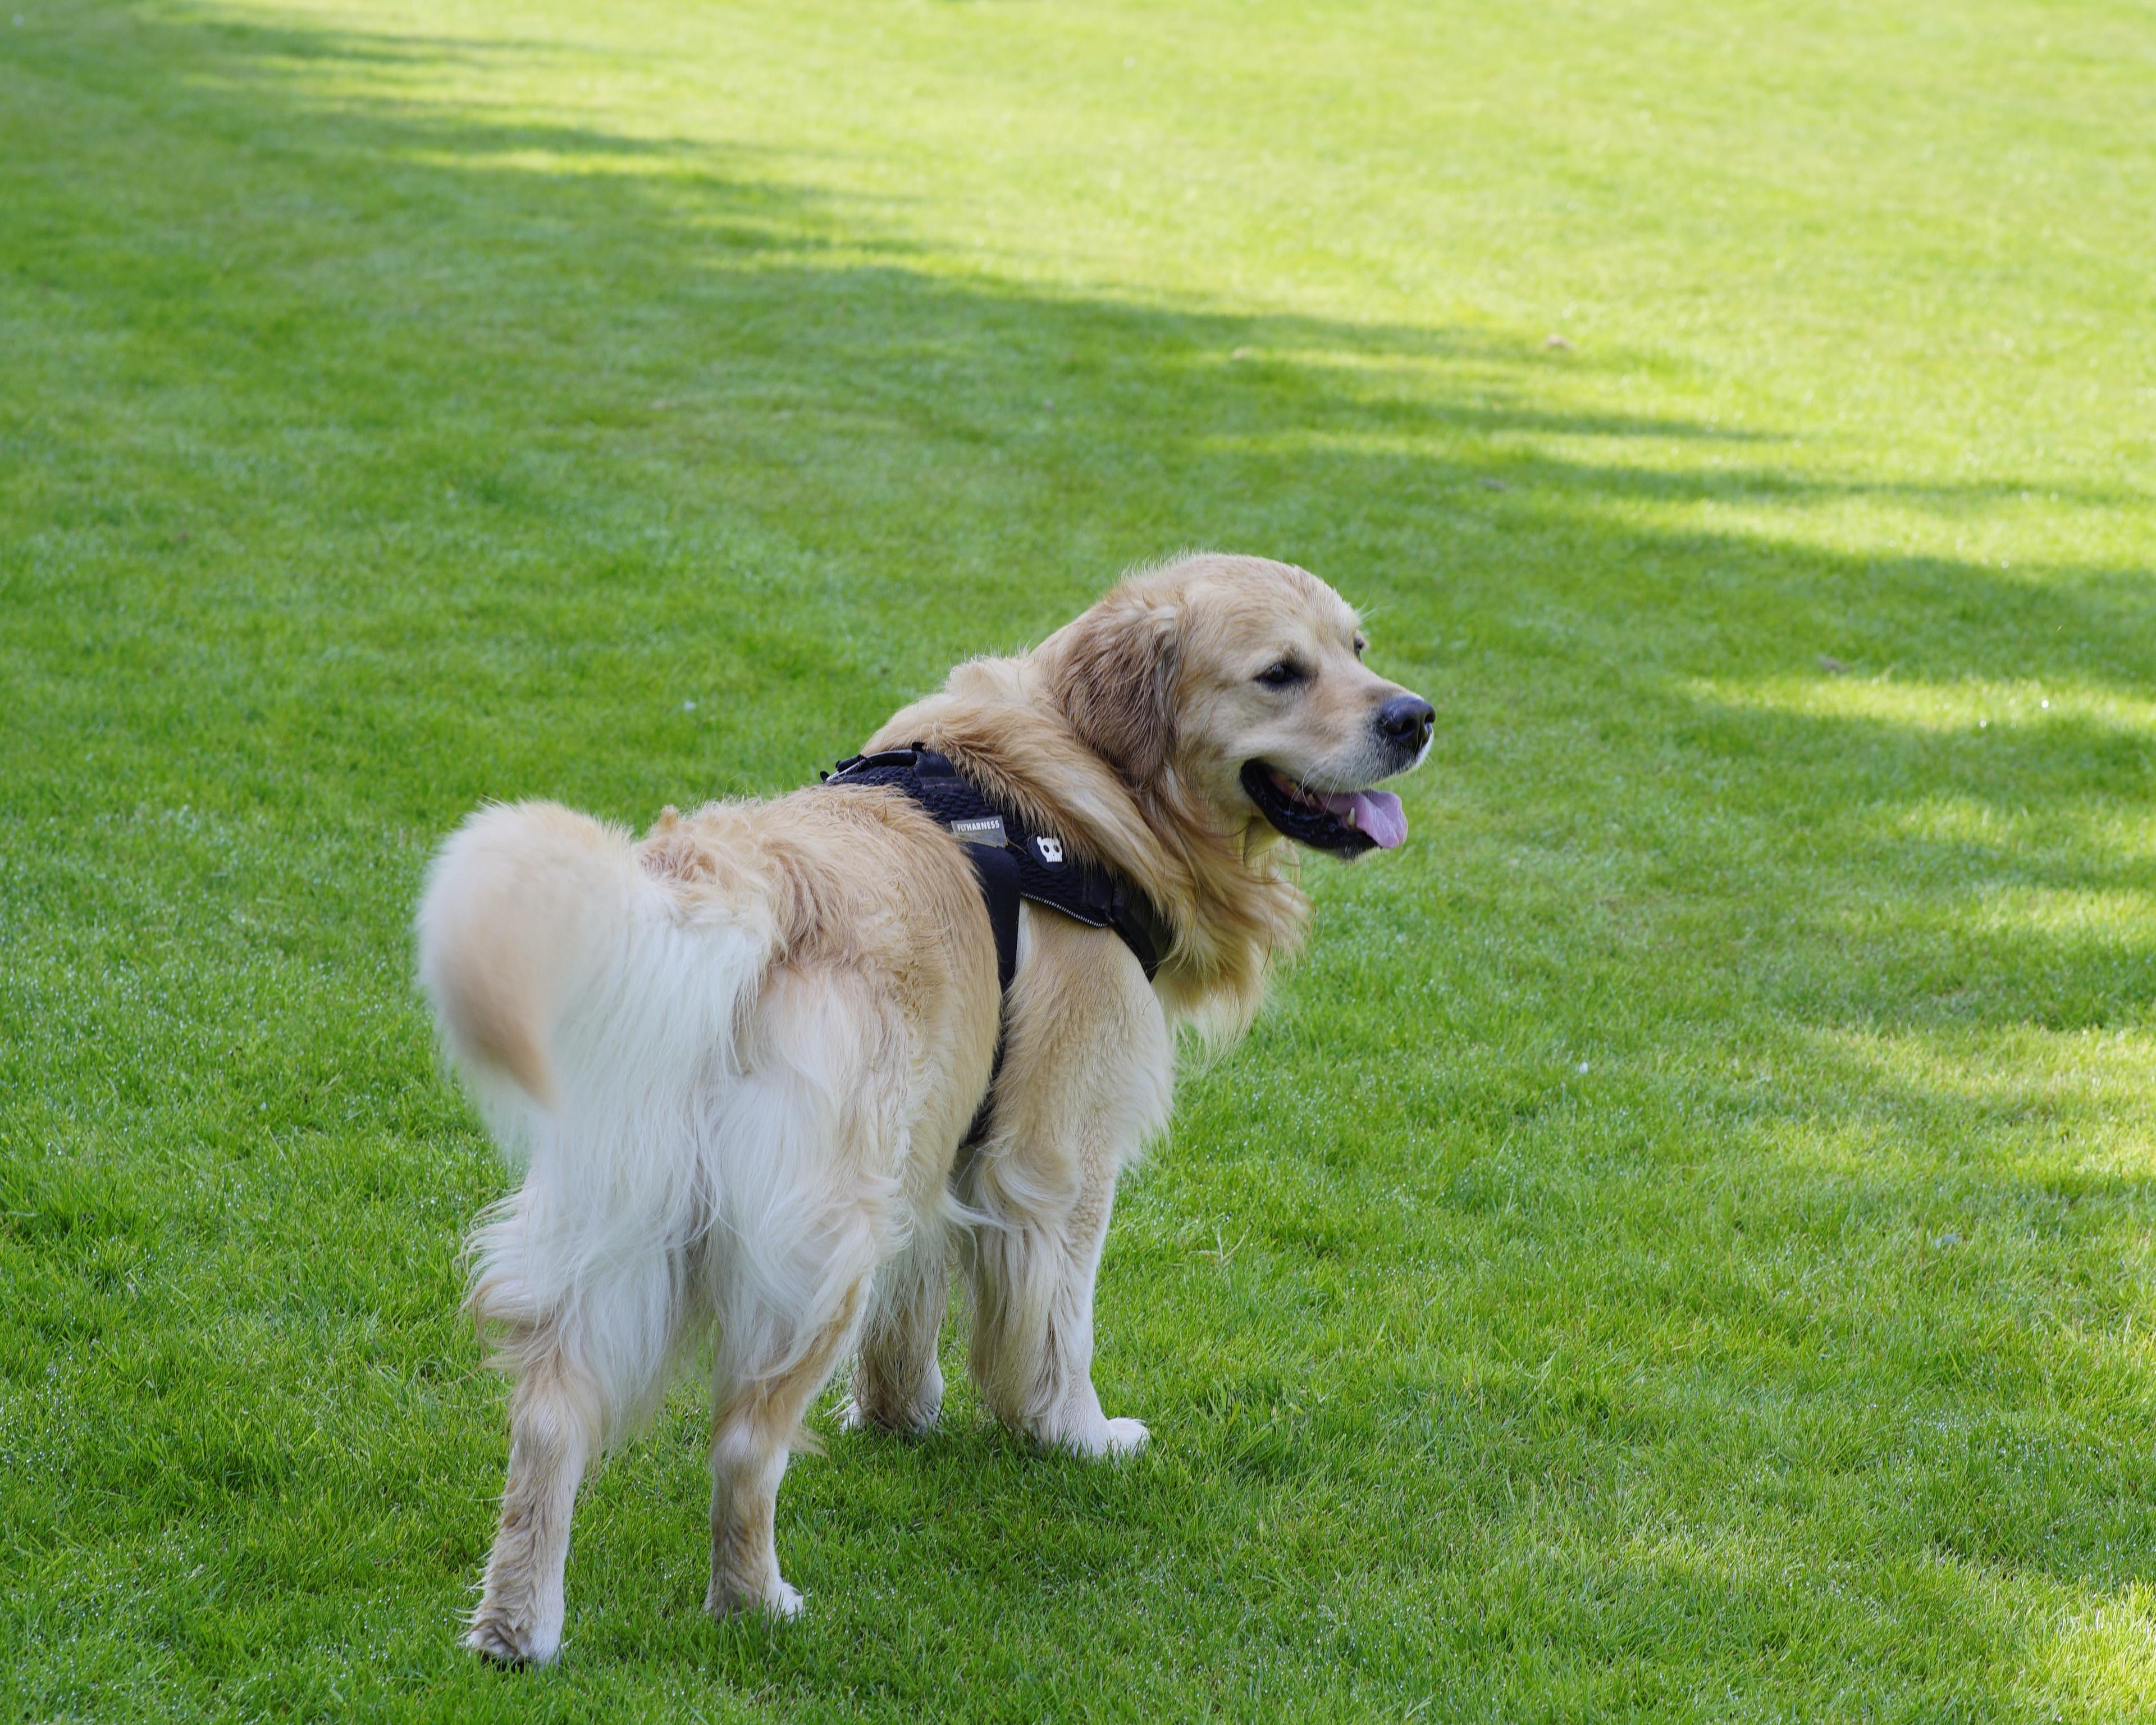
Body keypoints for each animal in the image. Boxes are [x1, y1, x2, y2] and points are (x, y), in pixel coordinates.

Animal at [416, 550, 1431, 1656]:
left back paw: (515, 1631)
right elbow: (1061, 1322)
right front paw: (1074, 1433)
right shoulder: (1059, 1152)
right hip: (813, 1250)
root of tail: (726, 888)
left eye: (1358, 648)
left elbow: (916, 1307)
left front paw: (903, 1418)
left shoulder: (944, 1134)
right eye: (1280, 673)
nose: (1415, 717)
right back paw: (756, 1601)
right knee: (744, 1444)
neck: (1086, 781)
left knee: (549, 1420)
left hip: (619, 1219)